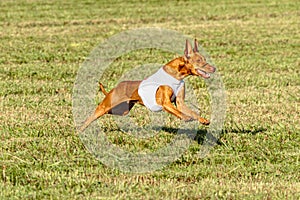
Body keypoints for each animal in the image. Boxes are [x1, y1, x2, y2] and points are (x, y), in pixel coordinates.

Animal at [79, 39, 216, 132]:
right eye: (199, 61)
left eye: (204, 59)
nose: (214, 68)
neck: (177, 75)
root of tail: (116, 87)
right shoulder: (166, 103)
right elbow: (178, 112)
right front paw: (186, 117)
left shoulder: (180, 103)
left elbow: (193, 112)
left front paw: (203, 120)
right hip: (105, 106)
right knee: (90, 117)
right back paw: (80, 130)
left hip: (122, 110)